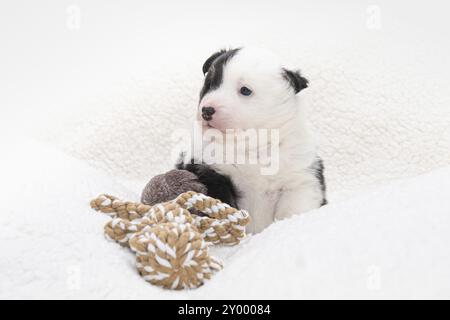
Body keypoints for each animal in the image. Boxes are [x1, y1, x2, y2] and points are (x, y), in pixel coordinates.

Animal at [177, 47, 326, 232]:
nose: (207, 110)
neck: (252, 145)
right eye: (210, 84)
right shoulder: (209, 171)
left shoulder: (300, 180)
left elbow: (293, 211)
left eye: (245, 90)